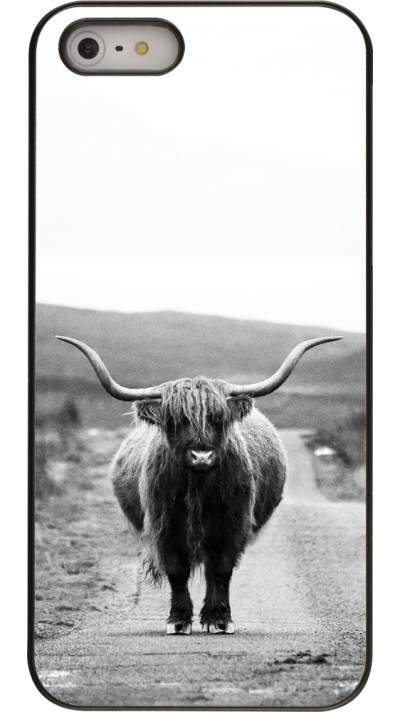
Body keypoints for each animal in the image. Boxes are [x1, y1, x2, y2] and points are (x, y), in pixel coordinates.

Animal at [56, 334, 341, 635]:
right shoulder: (165, 527)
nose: (201, 456)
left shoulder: (233, 525)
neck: (198, 487)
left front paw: (220, 619)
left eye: (218, 418)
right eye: (176, 420)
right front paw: (178, 620)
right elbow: (177, 571)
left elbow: (222, 570)